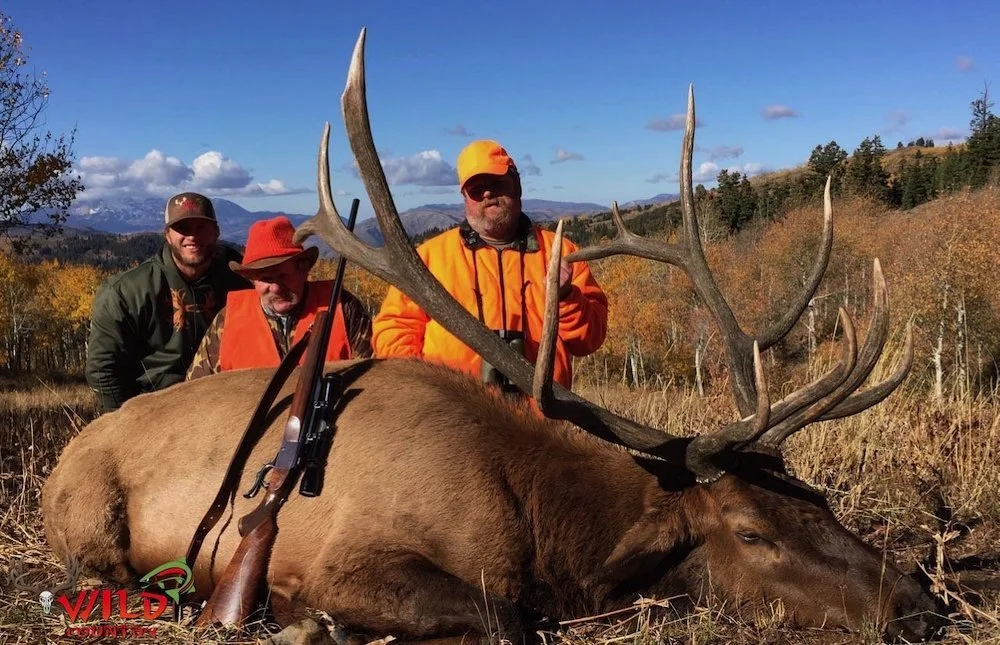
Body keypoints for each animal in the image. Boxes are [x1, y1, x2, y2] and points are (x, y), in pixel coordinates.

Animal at [40, 28, 939, 644]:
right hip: (89, 519)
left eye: (819, 498)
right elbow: (508, 619)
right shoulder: (347, 557)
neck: (540, 527)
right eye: (751, 531)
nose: (920, 604)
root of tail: (63, 455)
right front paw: (307, 621)